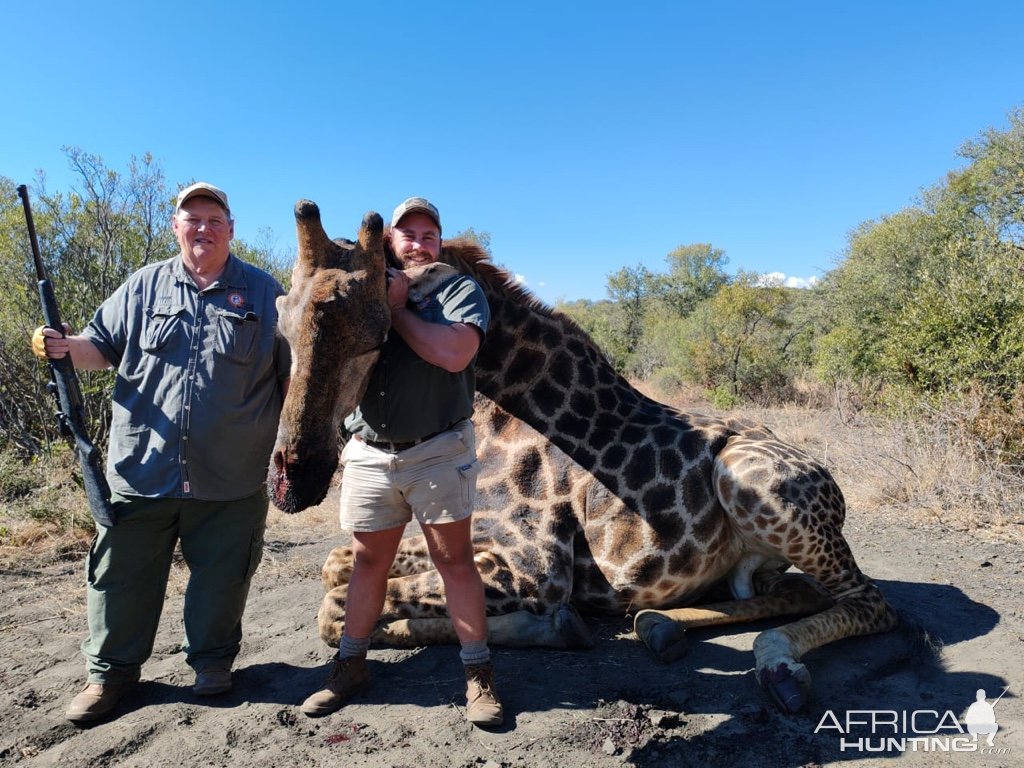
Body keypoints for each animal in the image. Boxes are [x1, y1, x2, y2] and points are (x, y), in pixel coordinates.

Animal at [270, 205, 897, 716]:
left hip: (749, 481)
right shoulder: (479, 538)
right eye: (282, 323)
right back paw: (661, 627)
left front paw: (551, 626)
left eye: (377, 334)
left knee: (872, 603)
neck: (497, 414)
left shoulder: (534, 566)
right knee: (795, 592)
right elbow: (334, 570)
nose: (291, 481)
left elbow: (336, 606)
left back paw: (779, 668)